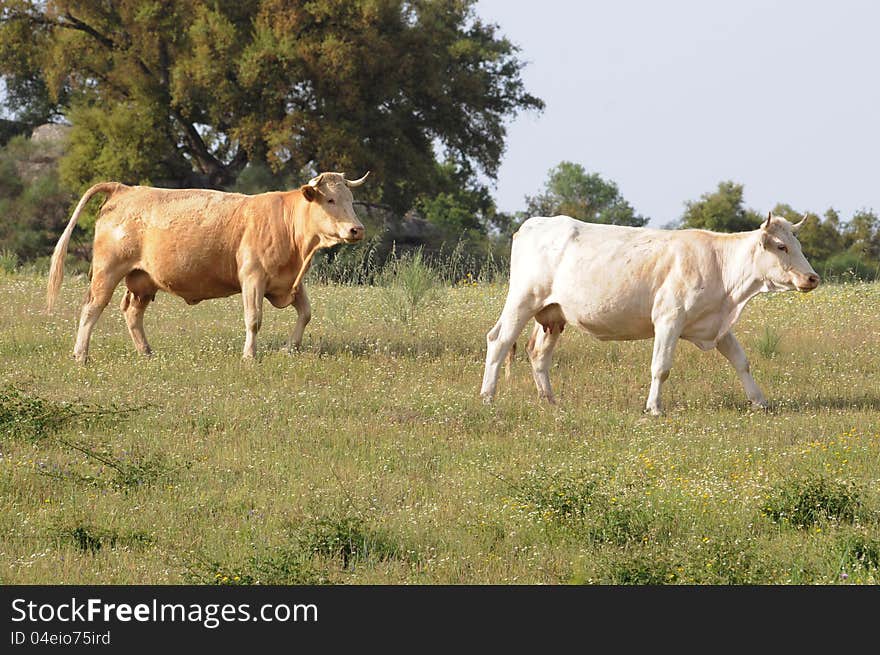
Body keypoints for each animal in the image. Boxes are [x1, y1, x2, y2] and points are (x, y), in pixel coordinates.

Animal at [45, 172, 368, 362]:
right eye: (330, 199)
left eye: (351, 200)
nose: (357, 229)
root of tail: (124, 188)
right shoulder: (253, 277)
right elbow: (254, 319)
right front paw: (249, 356)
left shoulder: (291, 282)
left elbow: (306, 313)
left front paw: (291, 348)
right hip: (107, 271)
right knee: (91, 308)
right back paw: (81, 355)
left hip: (142, 280)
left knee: (132, 313)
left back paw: (146, 352)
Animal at [482, 215, 820, 416]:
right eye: (781, 246)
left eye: (798, 243)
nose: (813, 278)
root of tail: (535, 223)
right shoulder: (669, 319)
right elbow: (661, 367)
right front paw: (654, 408)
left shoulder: (716, 324)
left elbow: (741, 361)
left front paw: (760, 401)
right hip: (522, 300)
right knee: (498, 342)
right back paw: (488, 397)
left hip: (552, 314)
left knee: (538, 353)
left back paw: (550, 402)